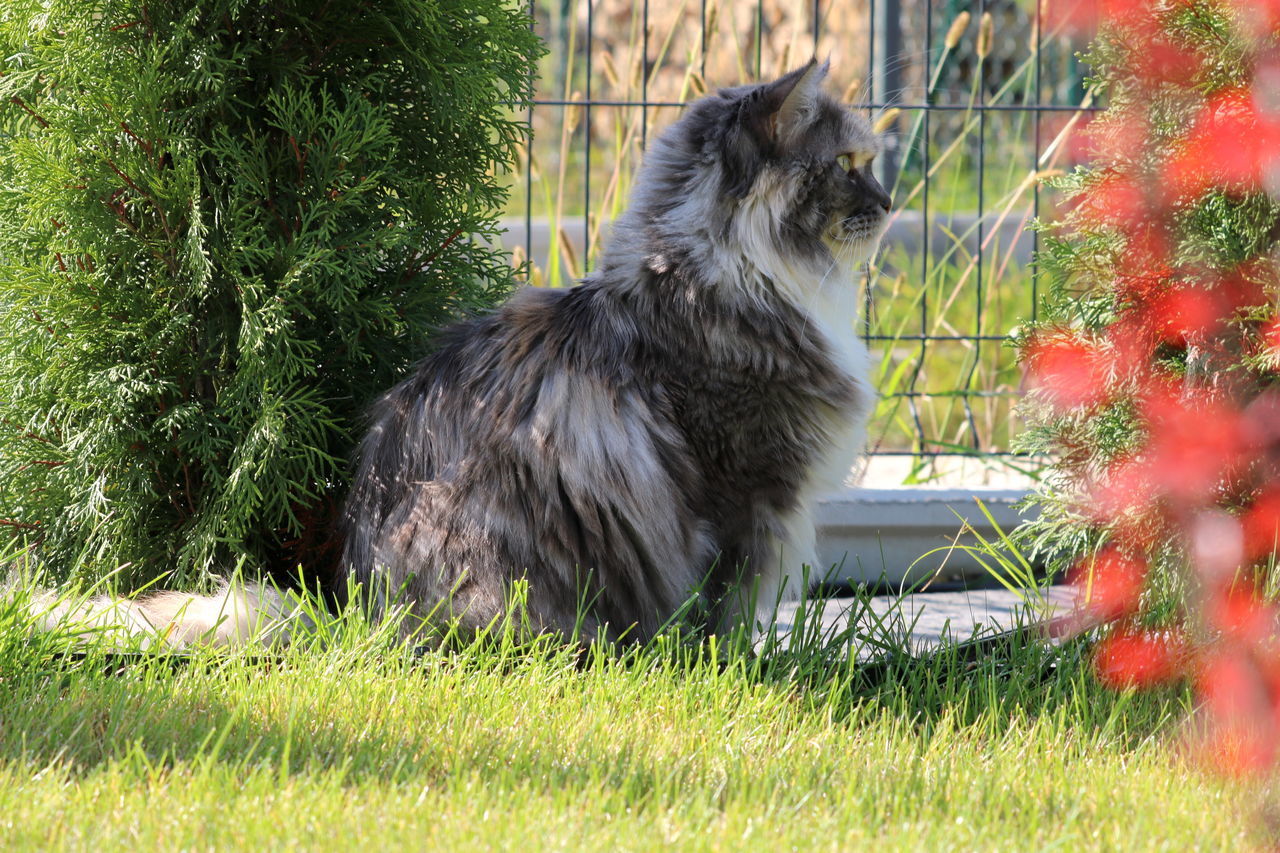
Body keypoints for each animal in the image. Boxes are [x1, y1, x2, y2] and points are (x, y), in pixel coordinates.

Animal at [20, 59, 890, 645]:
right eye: (848, 166)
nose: (890, 202)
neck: (720, 274)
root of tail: (359, 615)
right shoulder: (743, 494)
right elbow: (723, 614)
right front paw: (735, 670)